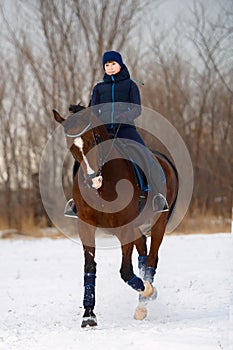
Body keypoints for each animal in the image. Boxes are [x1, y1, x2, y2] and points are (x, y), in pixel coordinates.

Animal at [52, 104, 178, 328]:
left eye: (94, 138)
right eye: (71, 147)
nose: (93, 181)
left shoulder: (125, 227)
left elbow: (125, 270)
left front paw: (148, 291)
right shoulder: (86, 226)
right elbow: (89, 266)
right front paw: (89, 314)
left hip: (159, 221)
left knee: (152, 258)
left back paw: (144, 300)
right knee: (143, 252)